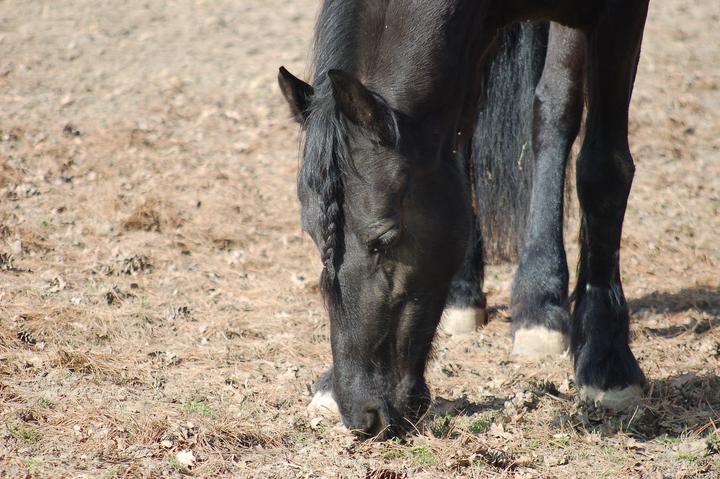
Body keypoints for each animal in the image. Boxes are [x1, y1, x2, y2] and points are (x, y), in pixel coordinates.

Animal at [278, 0, 648, 440]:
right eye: (315, 238)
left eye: (386, 239)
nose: (361, 412)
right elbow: (460, 144)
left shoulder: (618, 17)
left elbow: (599, 164)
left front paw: (607, 360)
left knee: (554, 110)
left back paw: (542, 302)